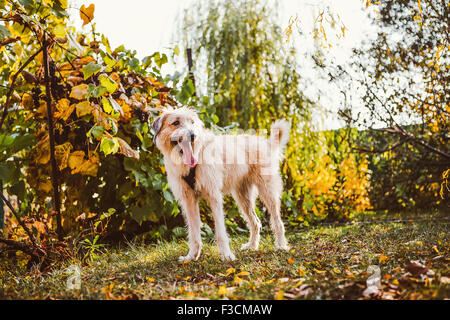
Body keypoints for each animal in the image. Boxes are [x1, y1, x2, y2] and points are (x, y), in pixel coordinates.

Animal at [153, 106, 290, 262]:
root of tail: (265, 143)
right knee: (255, 222)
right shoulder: (189, 200)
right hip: (243, 198)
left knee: (277, 221)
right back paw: (252, 246)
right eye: (175, 122)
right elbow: (193, 232)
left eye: (192, 122)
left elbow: (220, 230)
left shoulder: (214, 196)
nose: (193, 135)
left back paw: (281, 246)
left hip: (267, 192)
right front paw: (191, 256)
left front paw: (226, 255)